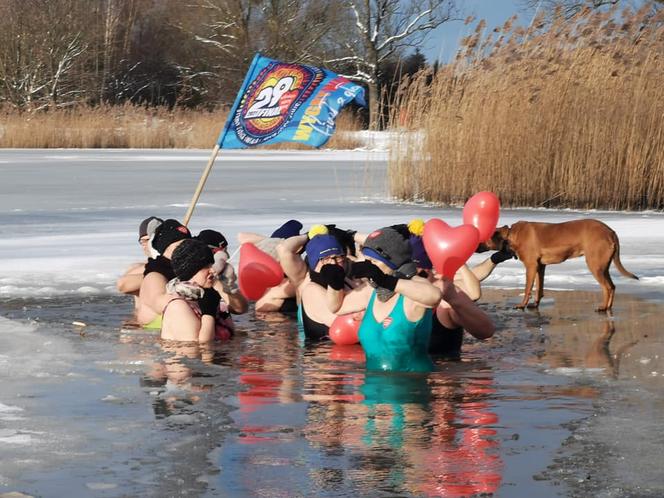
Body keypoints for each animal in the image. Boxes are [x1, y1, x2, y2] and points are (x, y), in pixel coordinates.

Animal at [482, 219, 640, 312]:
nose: (476, 246)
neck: (511, 235)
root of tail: (610, 231)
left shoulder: (531, 266)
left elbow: (527, 289)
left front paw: (522, 305)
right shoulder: (540, 267)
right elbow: (539, 288)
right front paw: (535, 304)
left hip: (595, 265)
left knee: (606, 287)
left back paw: (602, 307)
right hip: (603, 266)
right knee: (612, 286)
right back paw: (608, 307)